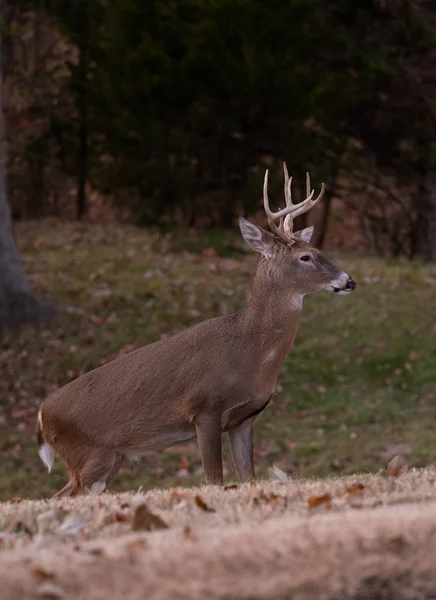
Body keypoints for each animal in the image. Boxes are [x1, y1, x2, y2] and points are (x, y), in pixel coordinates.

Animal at [36, 164, 354, 496]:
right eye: (305, 257)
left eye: (317, 250)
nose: (349, 281)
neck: (249, 353)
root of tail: (42, 415)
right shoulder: (204, 409)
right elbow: (215, 479)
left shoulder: (244, 418)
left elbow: (249, 477)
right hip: (89, 454)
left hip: (112, 458)